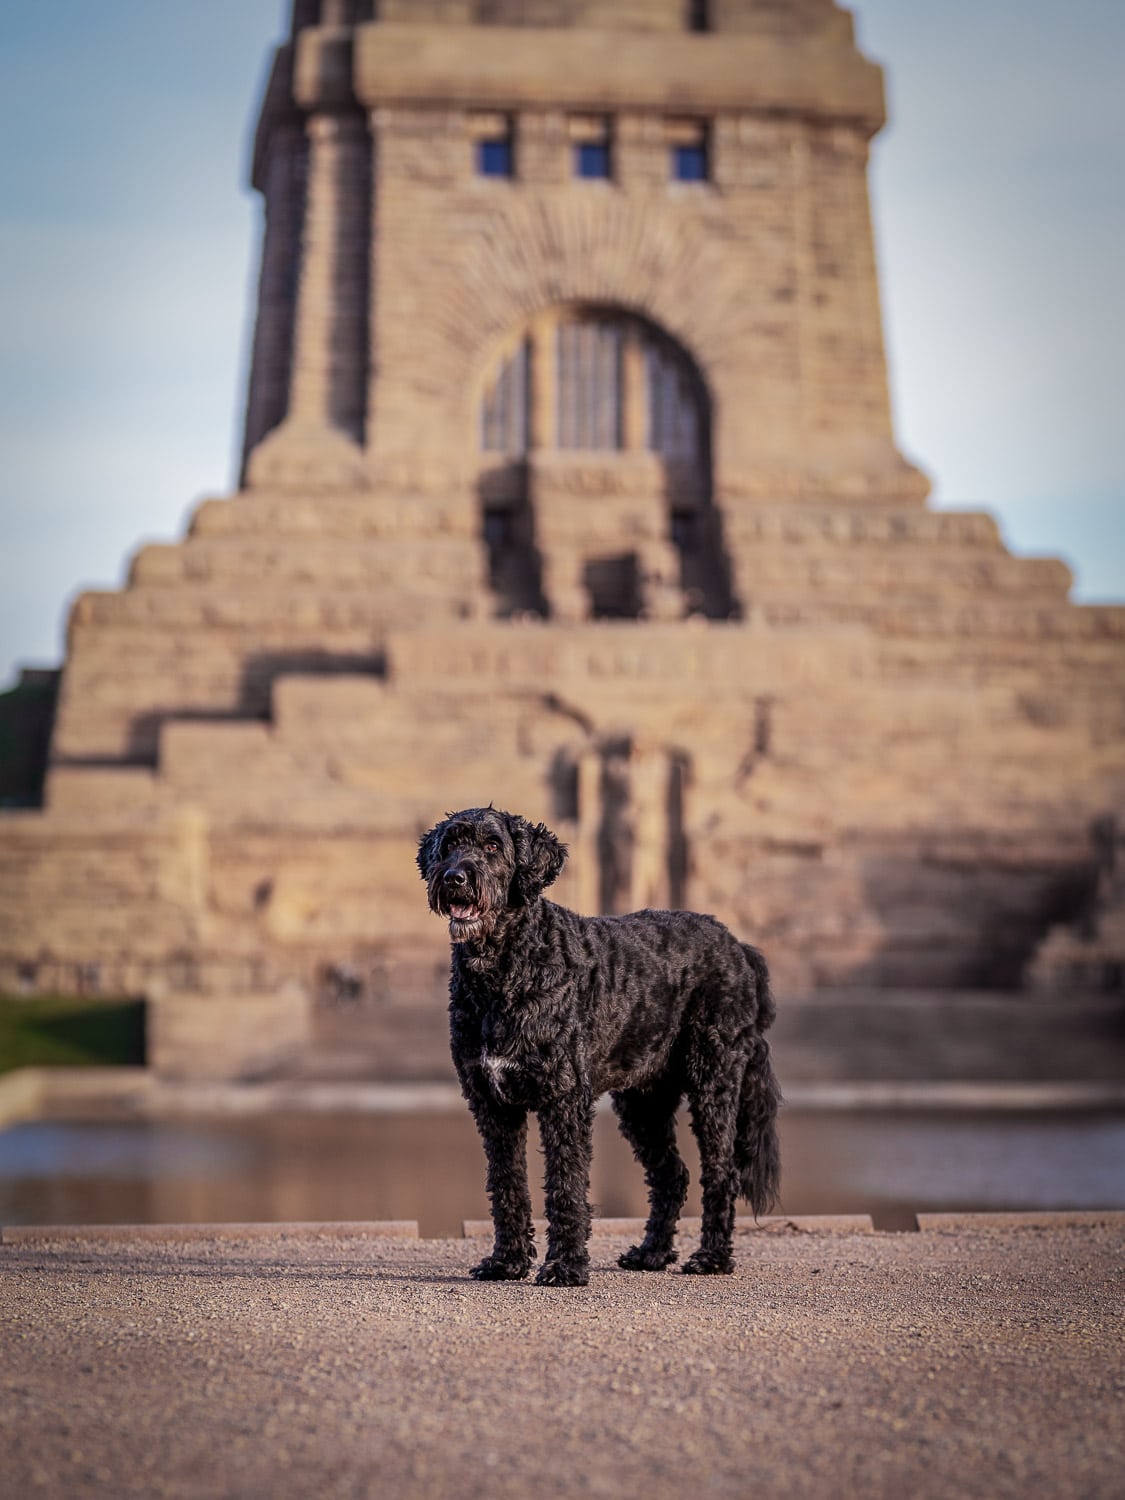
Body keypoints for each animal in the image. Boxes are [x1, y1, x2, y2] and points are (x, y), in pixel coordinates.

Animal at [420, 804, 780, 1284]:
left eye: (493, 845)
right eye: (450, 845)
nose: (455, 877)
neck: (505, 970)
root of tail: (739, 947)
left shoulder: (564, 1098)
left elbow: (566, 1185)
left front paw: (565, 1266)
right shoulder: (491, 1104)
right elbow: (507, 1184)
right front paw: (506, 1261)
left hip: (715, 1081)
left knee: (721, 1173)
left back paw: (711, 1258)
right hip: (644, 1101)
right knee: (672, 1176)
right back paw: (650, 1253)